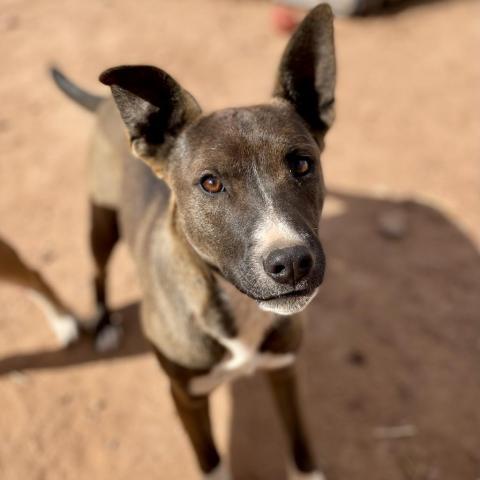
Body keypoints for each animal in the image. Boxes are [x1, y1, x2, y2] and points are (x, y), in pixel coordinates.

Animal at [50, 5, 336, 478]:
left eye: (301, 164)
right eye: (211, 182)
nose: (292, 262)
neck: (234, 304)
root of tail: (107, 107)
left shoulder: (284, 370)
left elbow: (300, 445)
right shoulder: (186, 396)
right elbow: (212, 461)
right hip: (101, 224)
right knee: (97, 271)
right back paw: (104, 325)